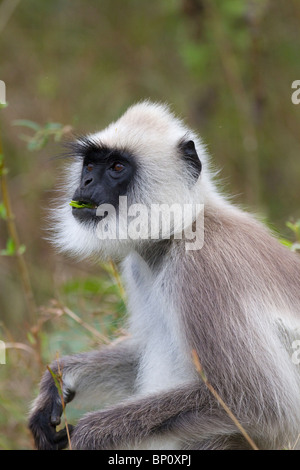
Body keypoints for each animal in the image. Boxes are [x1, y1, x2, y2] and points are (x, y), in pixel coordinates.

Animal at [28, 101, 300, 450]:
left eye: (117, 167)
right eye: (89, 166)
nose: (85, 183)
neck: (185, 226)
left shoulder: (201, 266)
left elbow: (259, 403)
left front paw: (86, 435)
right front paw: (57, 380)